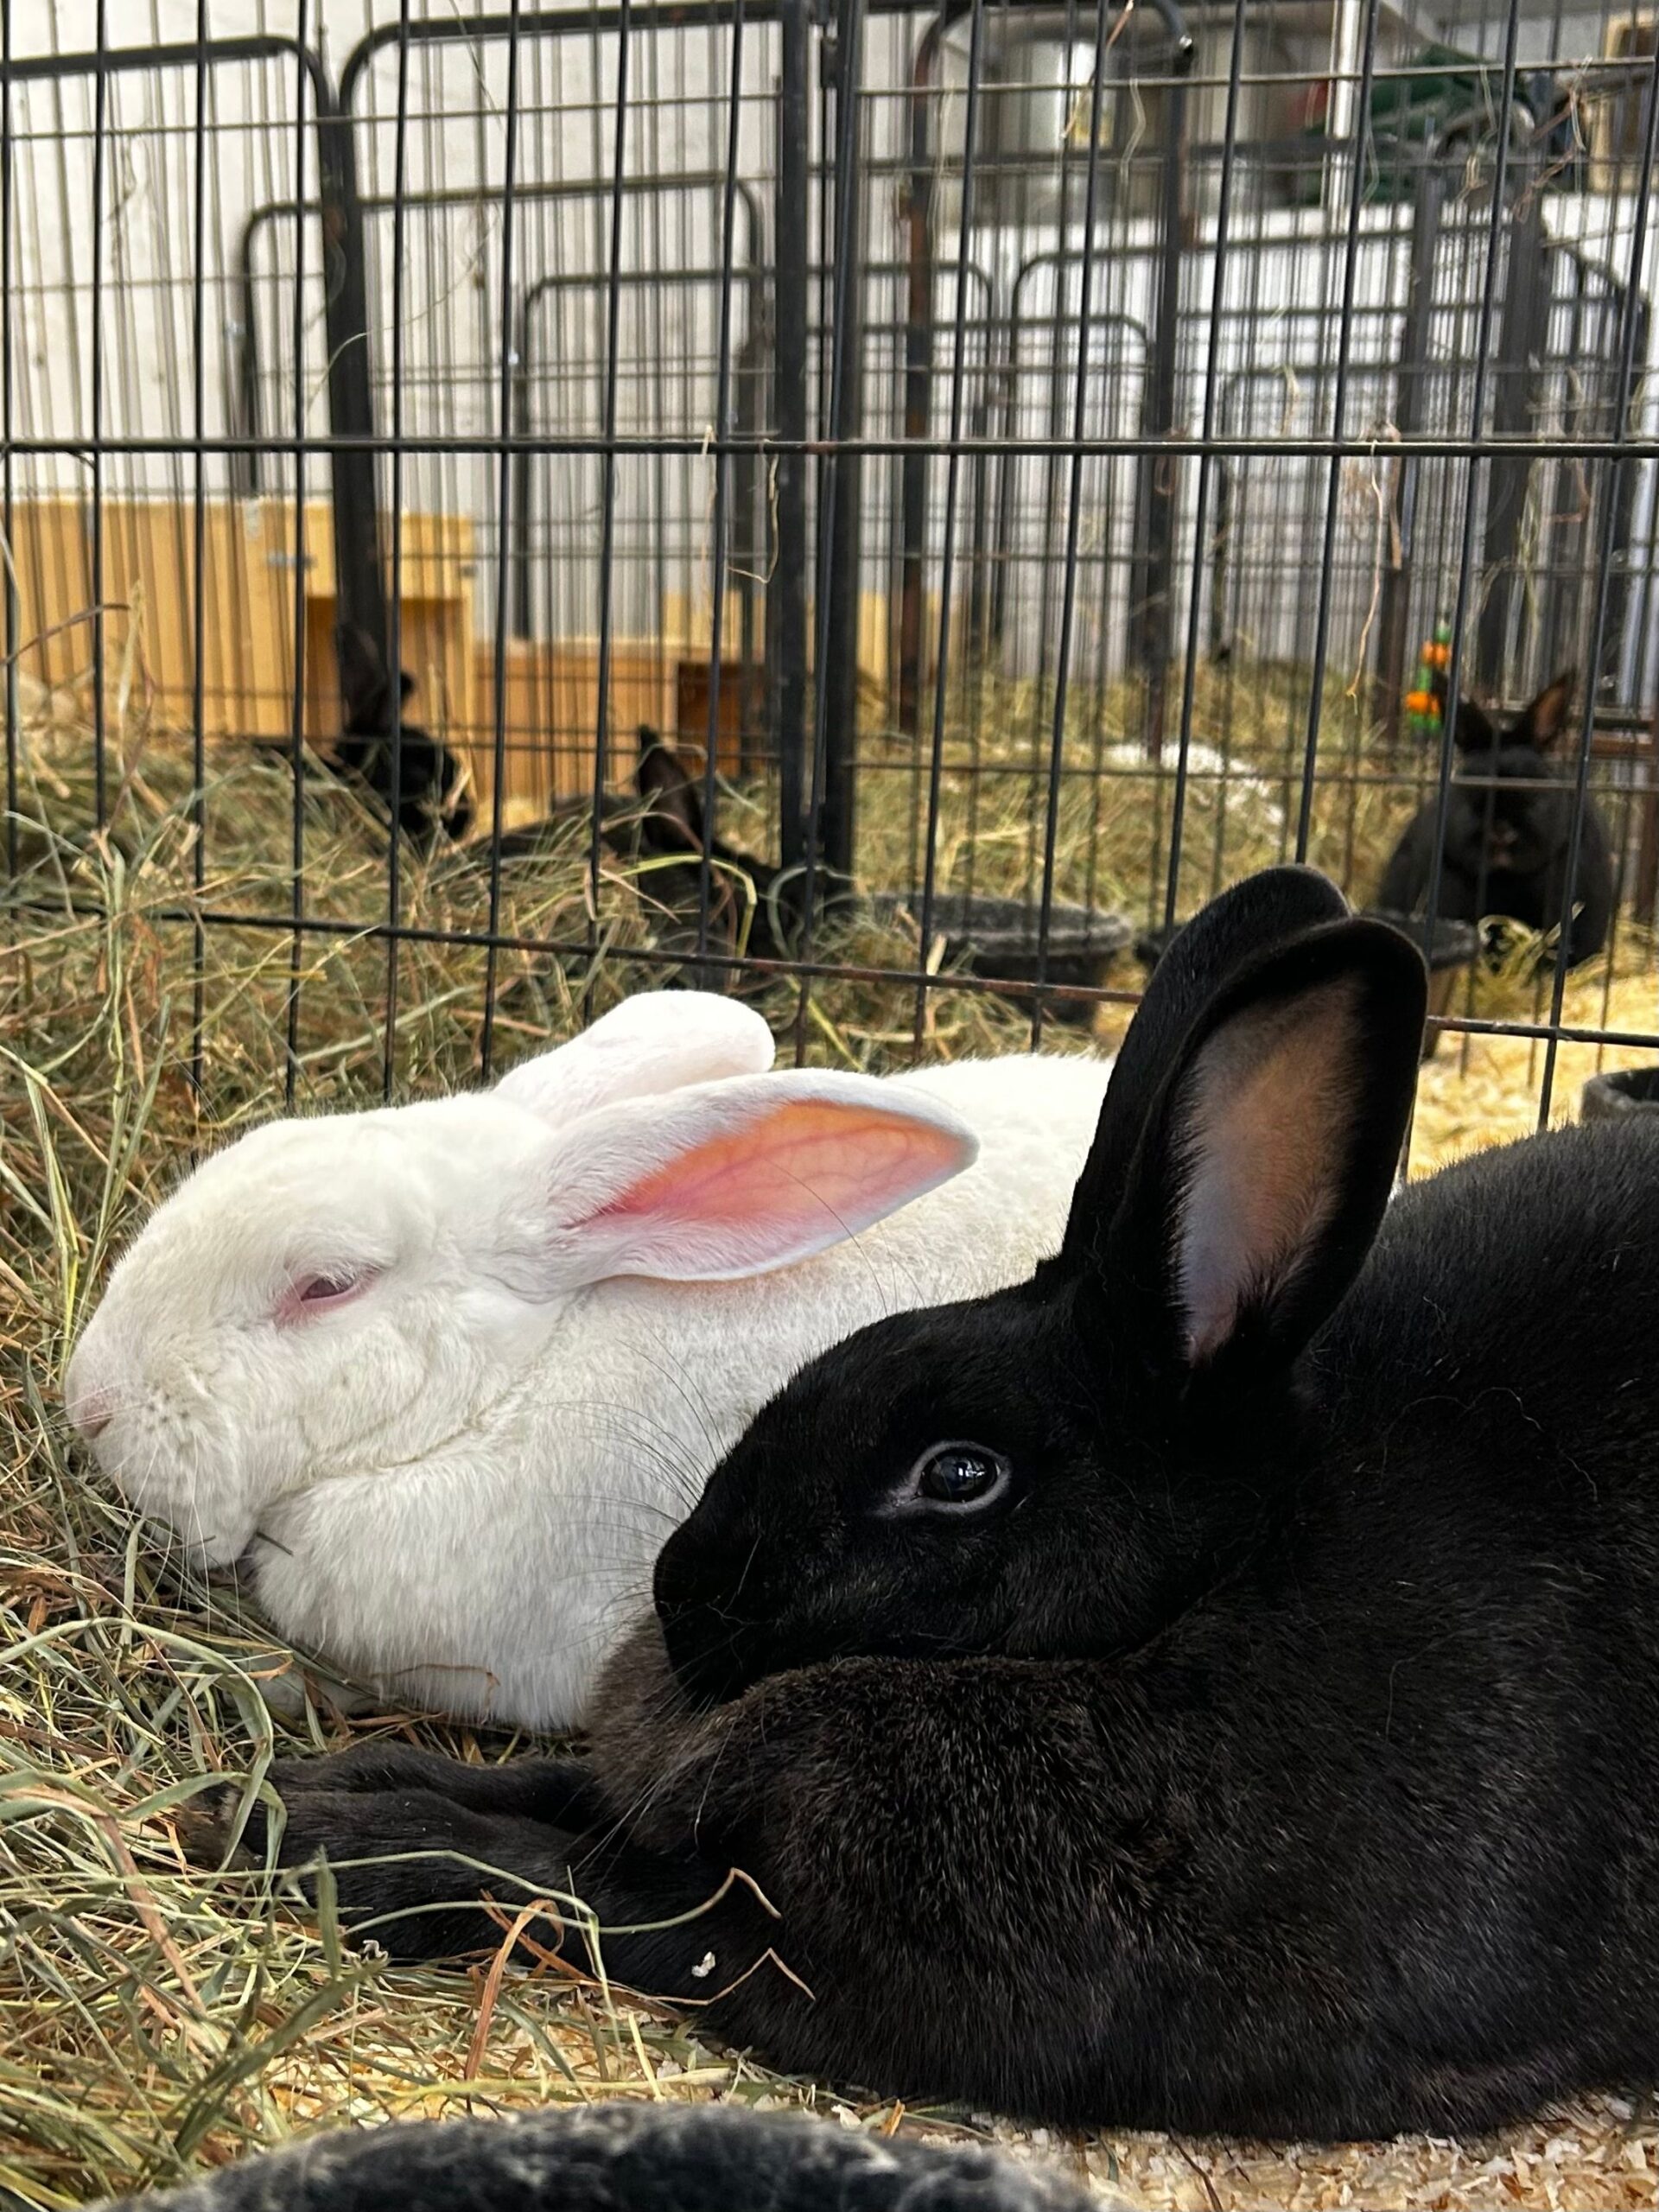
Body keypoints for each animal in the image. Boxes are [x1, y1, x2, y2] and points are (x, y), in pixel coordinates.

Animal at [213, 861, 1659, 2143]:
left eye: (960, 1475)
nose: (682, 1594)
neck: (1178, 1612)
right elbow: (550, 1789)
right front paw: (297, 1786)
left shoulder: (767, 1940)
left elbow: (559, 1885)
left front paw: (325, 1837)